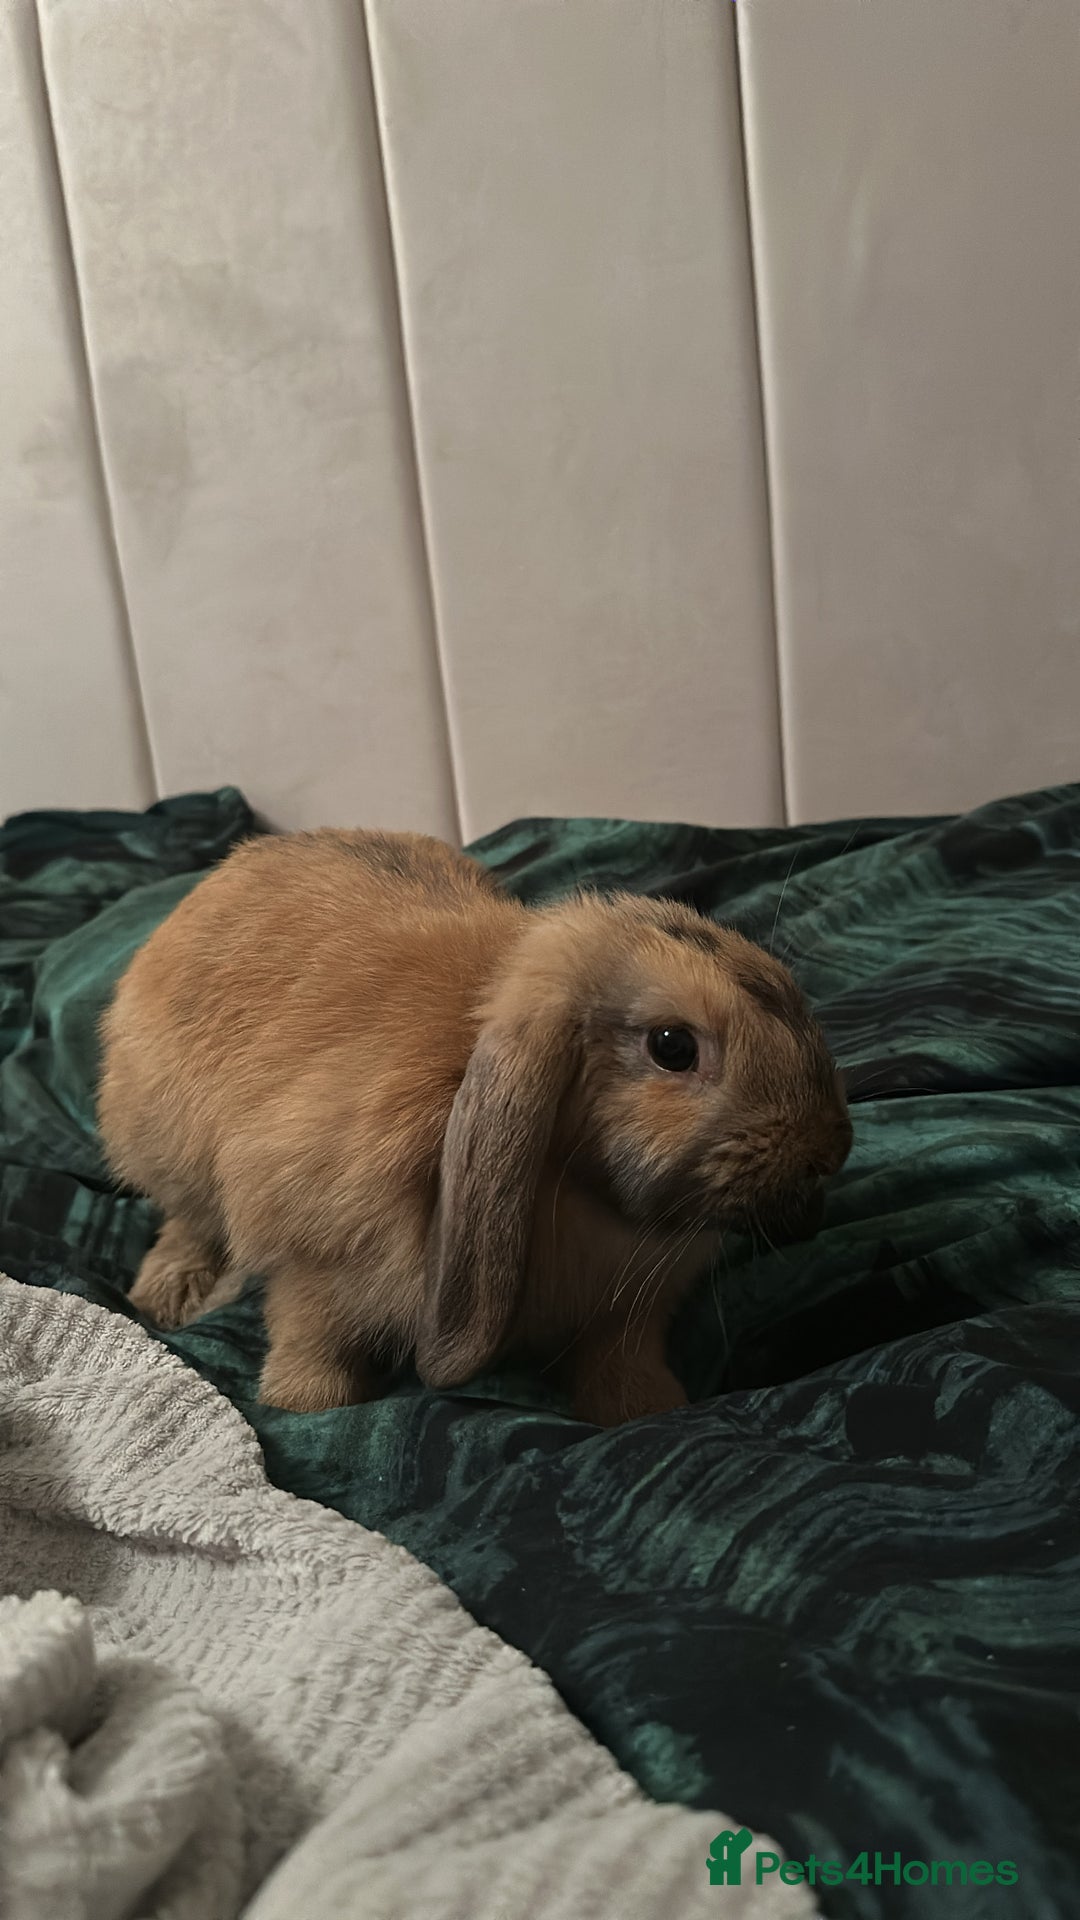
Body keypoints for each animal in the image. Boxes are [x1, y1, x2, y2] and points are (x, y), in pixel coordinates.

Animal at [98, 828, 852, 1426]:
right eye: (673, 1046)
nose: (831, 1149)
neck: (575, 1191)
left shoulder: (625, 1320)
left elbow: (622, 1366)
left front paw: (651, 1411)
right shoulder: (316, 1257)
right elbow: (311, 1336)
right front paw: (304, 1407)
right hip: (168, 1150)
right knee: (189, 1221)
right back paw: (168, 1295)